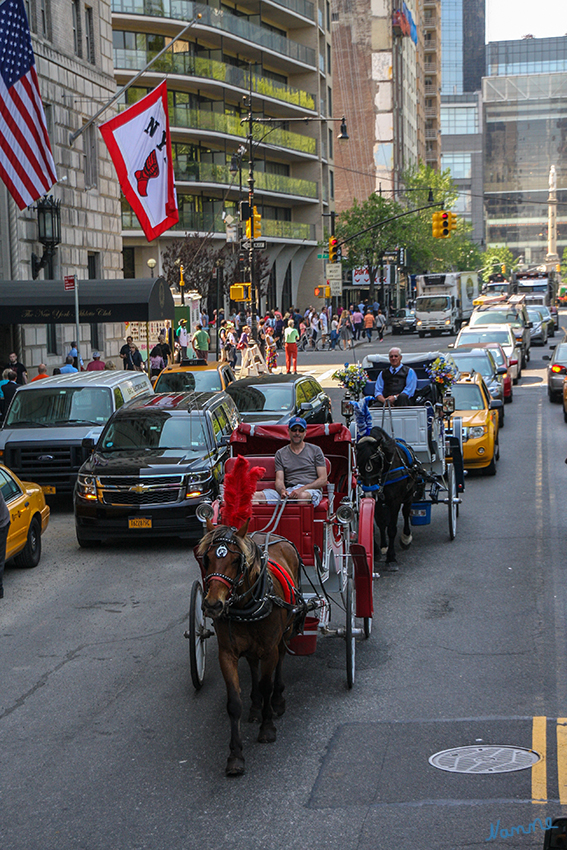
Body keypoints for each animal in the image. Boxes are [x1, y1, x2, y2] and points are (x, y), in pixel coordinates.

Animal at [197, 516, 302, 776]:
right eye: (206, 559)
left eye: (236, 560)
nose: (213, 604)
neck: (246, 603)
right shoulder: (227, 653)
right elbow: (234, 702)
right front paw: (235, 756)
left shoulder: (270, 649)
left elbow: (267, 685)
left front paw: (267, 727)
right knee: (253, 664)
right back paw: (254, 706)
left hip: (285, 632)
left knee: (280, 661)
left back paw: (277, 700)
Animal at [356, 424, 422, 568]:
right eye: (358, 463)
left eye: (376, 461)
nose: (369, 491)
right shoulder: (377, 501)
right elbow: (379, 524)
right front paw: (379, 550)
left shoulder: (395, 501)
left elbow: (392, 528)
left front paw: (391, 558)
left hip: (409, 494)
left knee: (406, 511)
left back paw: (406, 537)